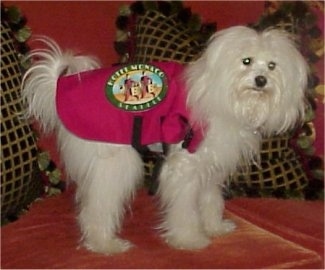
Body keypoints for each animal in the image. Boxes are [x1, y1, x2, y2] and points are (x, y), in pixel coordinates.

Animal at [21, 26, 308, 254]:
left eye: (272, 65)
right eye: (246, 61)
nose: (261, 80)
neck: (225, 95)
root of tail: (60, 87)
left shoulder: (210, 166)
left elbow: (211, 200)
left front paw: (214, 227)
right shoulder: (184, 167)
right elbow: (184, 208)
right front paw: (189, 239)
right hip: (114, 162)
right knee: (97, 207)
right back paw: (105, 244)